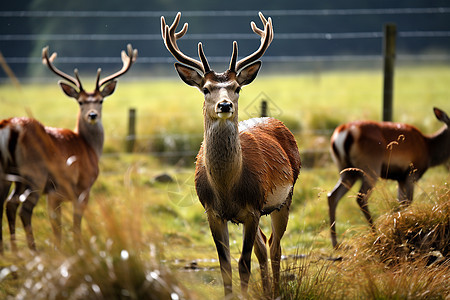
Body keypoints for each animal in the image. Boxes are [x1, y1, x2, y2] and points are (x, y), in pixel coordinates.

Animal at [0, 43, 137, 252]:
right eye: (80, 101)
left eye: (100, 100)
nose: (92, 115)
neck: (89, 148)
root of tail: (12, 127)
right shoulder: (79, 187)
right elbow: (73, 225)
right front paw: (77, 249)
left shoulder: (55, 194)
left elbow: (57, 227)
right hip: (35, 173)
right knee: (22, 208)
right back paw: (32, 250)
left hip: (8, 173)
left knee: (6, 203)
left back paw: (13, 250)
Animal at [160, 12, 300, 298]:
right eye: (205, 89)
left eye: (237, 88)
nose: (224, 105)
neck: (227, 188)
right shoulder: (211, 211)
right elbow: (224, 264)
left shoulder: (253, 207)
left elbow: (243, 263)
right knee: (263, 247)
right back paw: (266, 289)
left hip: (284, 198)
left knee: (275, 247)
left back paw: (276, 290)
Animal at [326, 108, 450, 248]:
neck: (429, 152)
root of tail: (344, 133)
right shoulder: (411, 174)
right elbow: (407, 202)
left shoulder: (400, 179)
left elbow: (401, 202)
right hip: (371, 167)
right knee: (361, 198)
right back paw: (376, 236)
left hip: (347, 171)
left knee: (332, 196)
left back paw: (336, 244)